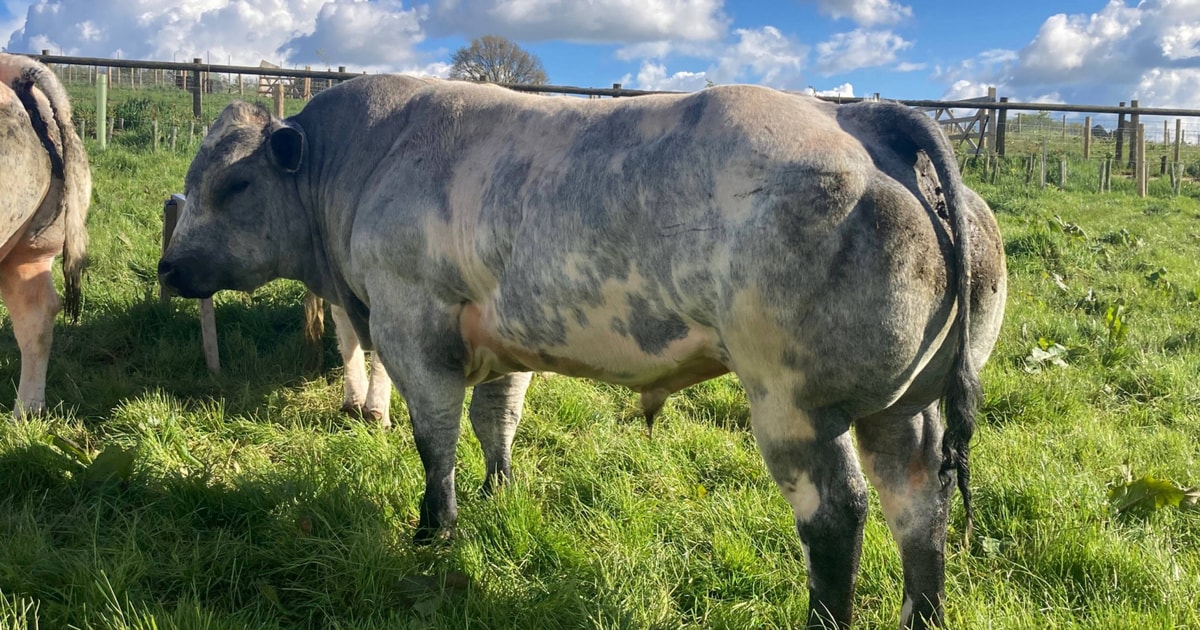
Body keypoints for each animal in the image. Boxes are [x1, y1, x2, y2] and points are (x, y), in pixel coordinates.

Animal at [158, 75, 1006, 629]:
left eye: (233, 186)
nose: (168, 268)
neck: (367, 160)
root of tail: (859, 119)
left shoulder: (413, 325)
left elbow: (436, 440)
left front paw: (435, 531)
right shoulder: (502, 338)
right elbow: (496, 421)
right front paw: (498, 494)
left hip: (795, 403)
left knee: (838, 516)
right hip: (902, 407)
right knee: (918, 504)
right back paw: (924, 615)